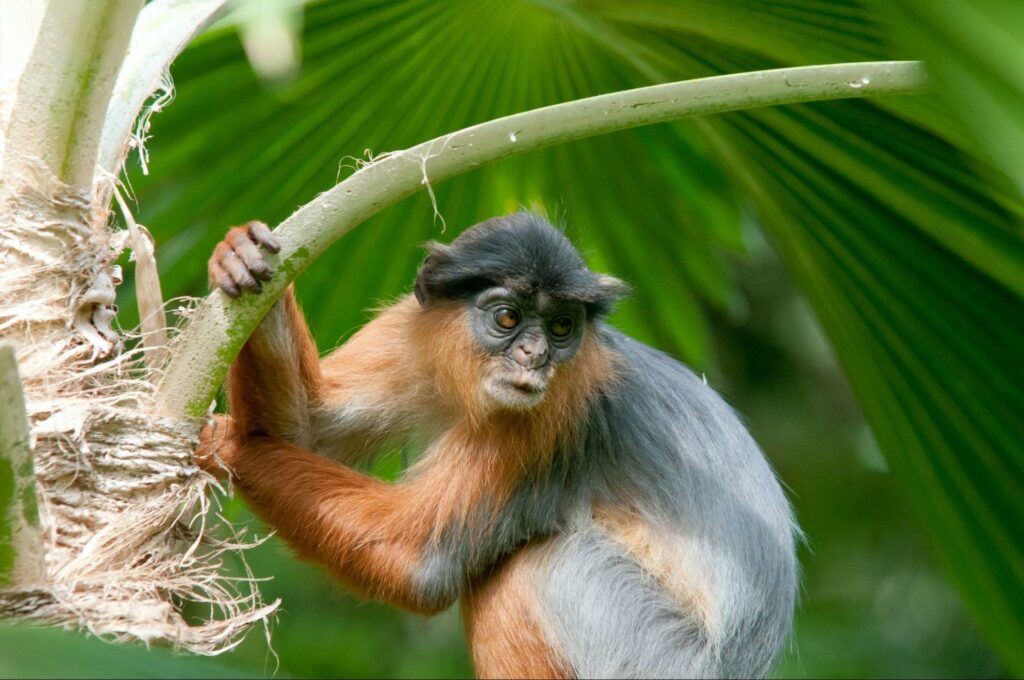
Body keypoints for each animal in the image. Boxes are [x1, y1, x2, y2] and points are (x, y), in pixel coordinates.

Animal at [197, 209, 798, 675]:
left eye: (561, 328)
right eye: (508, 318)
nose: (535, 356)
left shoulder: (553, 411)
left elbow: (419, 564)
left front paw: (222, 445)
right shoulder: (410, 330)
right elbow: (302, 430)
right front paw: (240, 260)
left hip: (657, 654)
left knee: (536, 566)